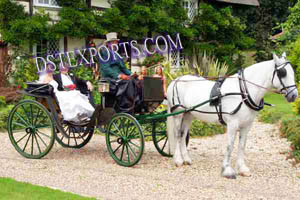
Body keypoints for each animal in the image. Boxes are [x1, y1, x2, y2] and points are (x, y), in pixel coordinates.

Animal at [166, 52, 298, 178]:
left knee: (183, 135)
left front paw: (242, 169)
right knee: (177, 134)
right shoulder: (232, 124)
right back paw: (178, 160)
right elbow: (230, 146)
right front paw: (226, 170)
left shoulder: (246, 126)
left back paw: (186, 159)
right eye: (282, 73)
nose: (294, 95)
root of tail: (176, 80)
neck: (243, 92)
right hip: (178, 114)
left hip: (189, 114)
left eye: (292, 72)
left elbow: (242, 146)